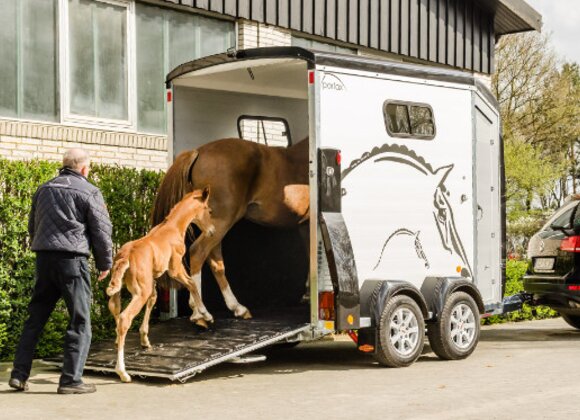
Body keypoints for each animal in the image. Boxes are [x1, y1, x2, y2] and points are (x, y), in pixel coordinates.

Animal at [105, 186, 214, 380]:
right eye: (209, 210)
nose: (212, 231)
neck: (173, 227)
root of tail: (125, 257)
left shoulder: (153, 278)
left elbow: (154, 299)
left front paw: (145, 339)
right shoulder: (175, 268)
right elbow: (191, 284)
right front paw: (205, 315)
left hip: (122, 288)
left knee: (115, 308)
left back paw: (118, 341)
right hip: (140, 291)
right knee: (125, 318)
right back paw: (122, 371)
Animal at [152, 138, 310, 322]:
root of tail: (198, 152)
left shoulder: (304, 225)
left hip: (213, 228)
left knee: (215, 262)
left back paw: (237, 308)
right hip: (221, 222)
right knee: (198, 252)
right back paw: (200, 311)